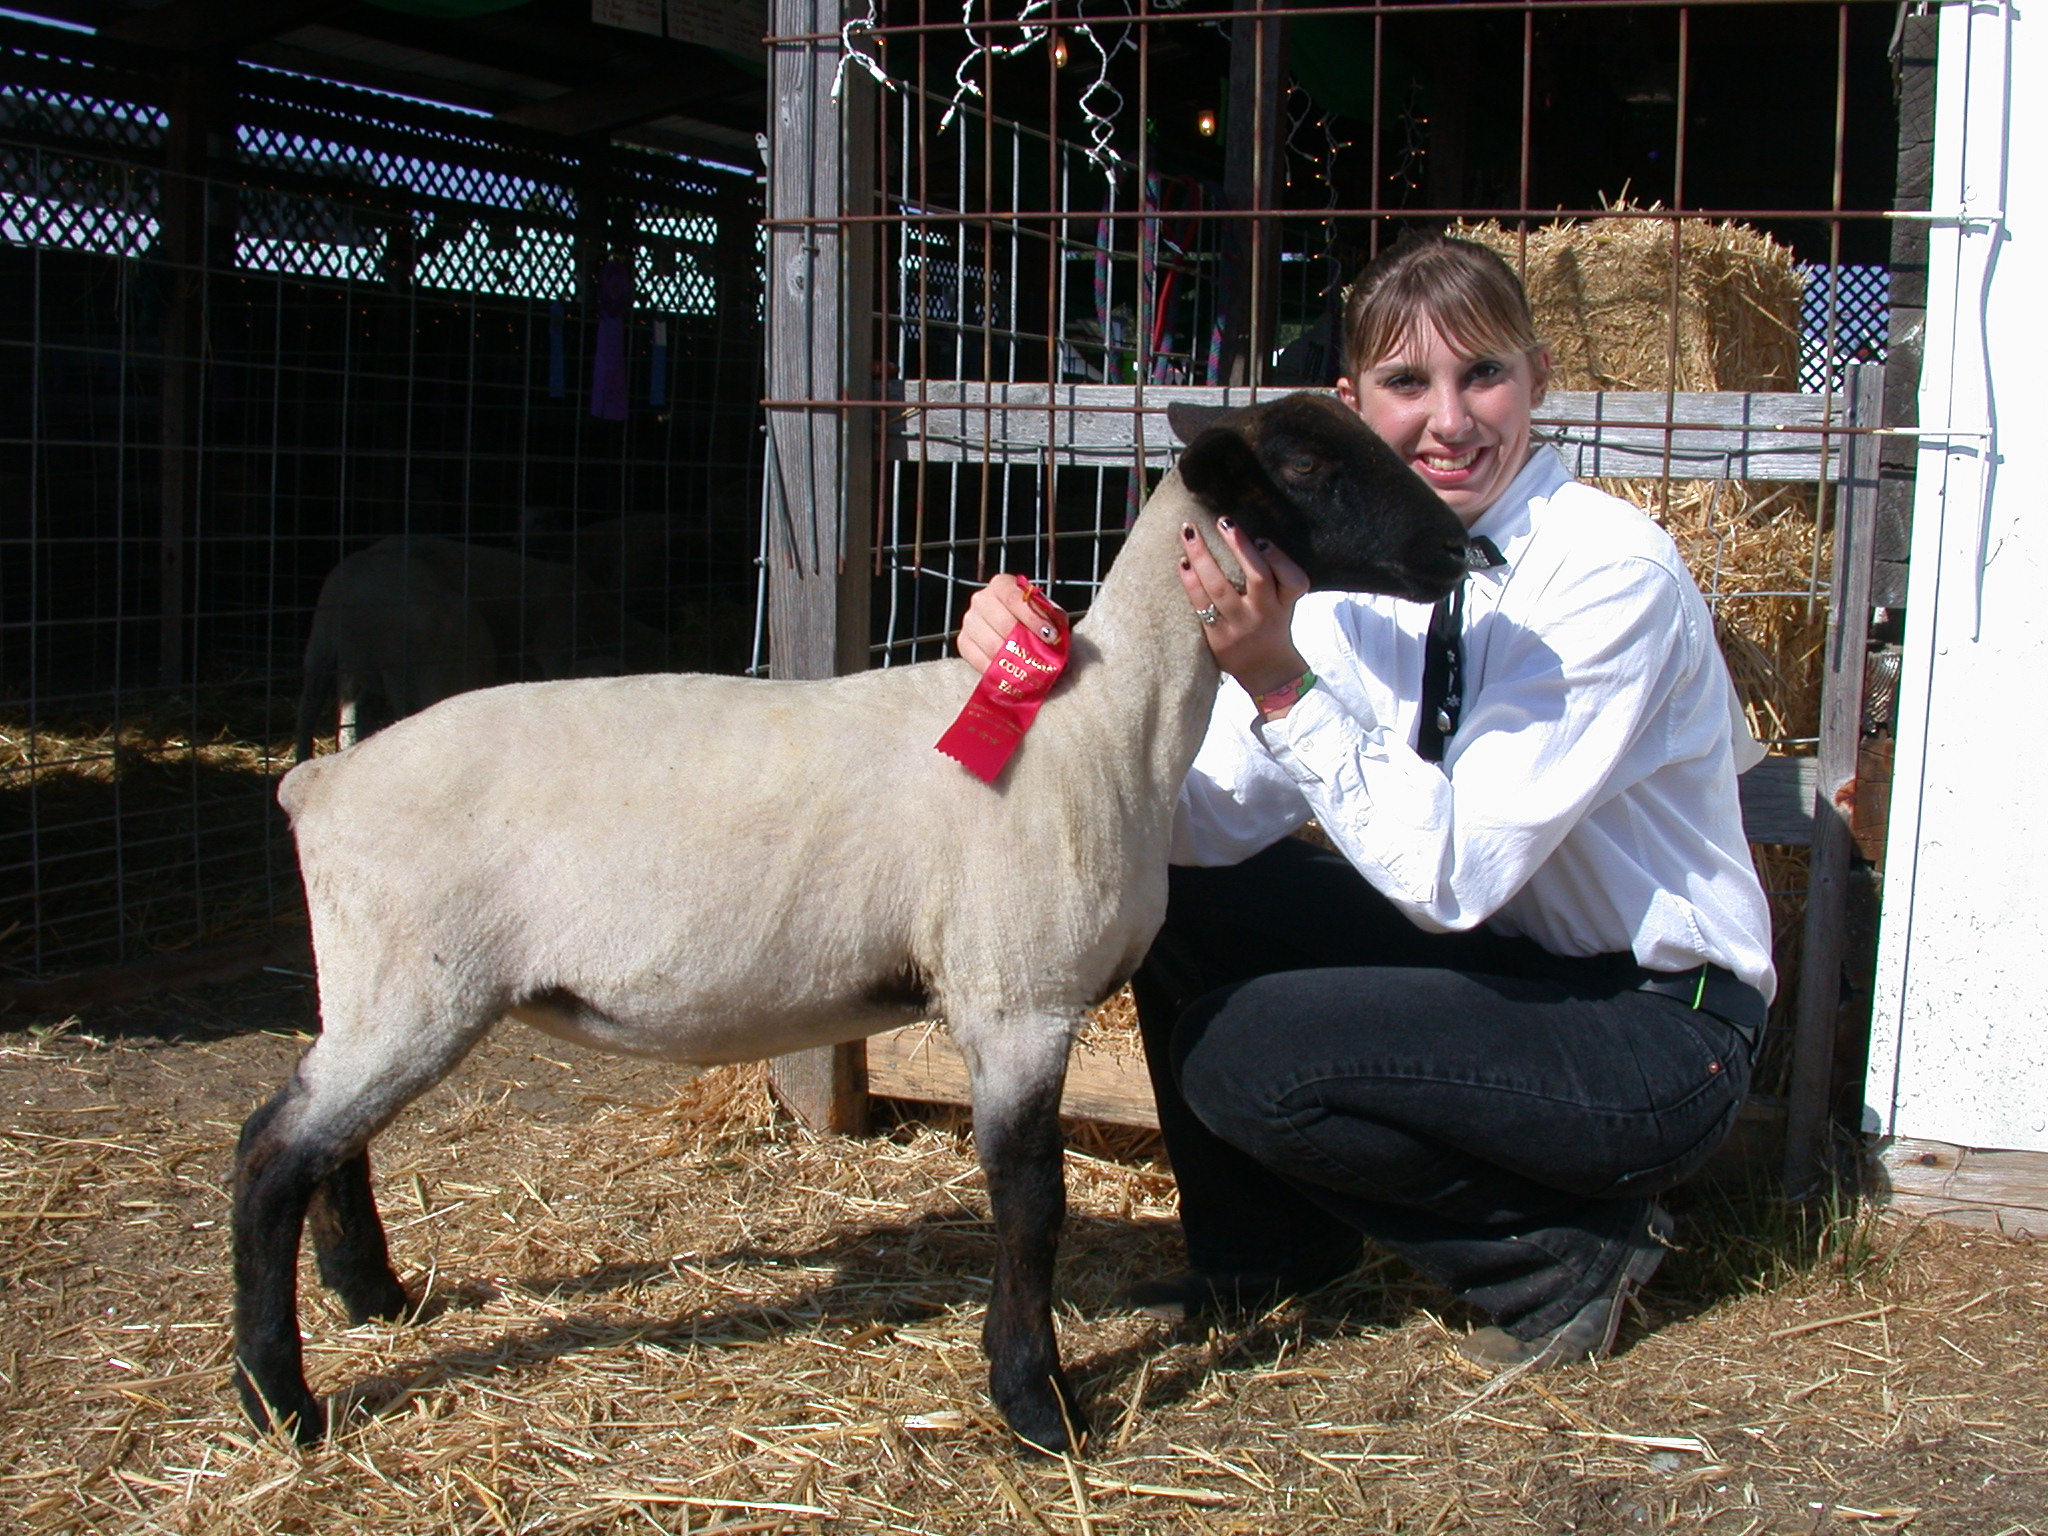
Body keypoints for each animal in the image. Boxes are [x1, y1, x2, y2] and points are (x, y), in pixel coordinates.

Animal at [234, 392, 1471, 1455]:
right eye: (1304, 463)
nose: (1463, 553)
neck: (1108, 725)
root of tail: (319, 786)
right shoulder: (1017, 1000)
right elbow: (1030, 1203)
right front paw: (1036, 1403)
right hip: (413, 981)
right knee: (271, 1152)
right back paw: (279, 1400)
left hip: (385, 987)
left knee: (330, 1145)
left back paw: (375, 1299)